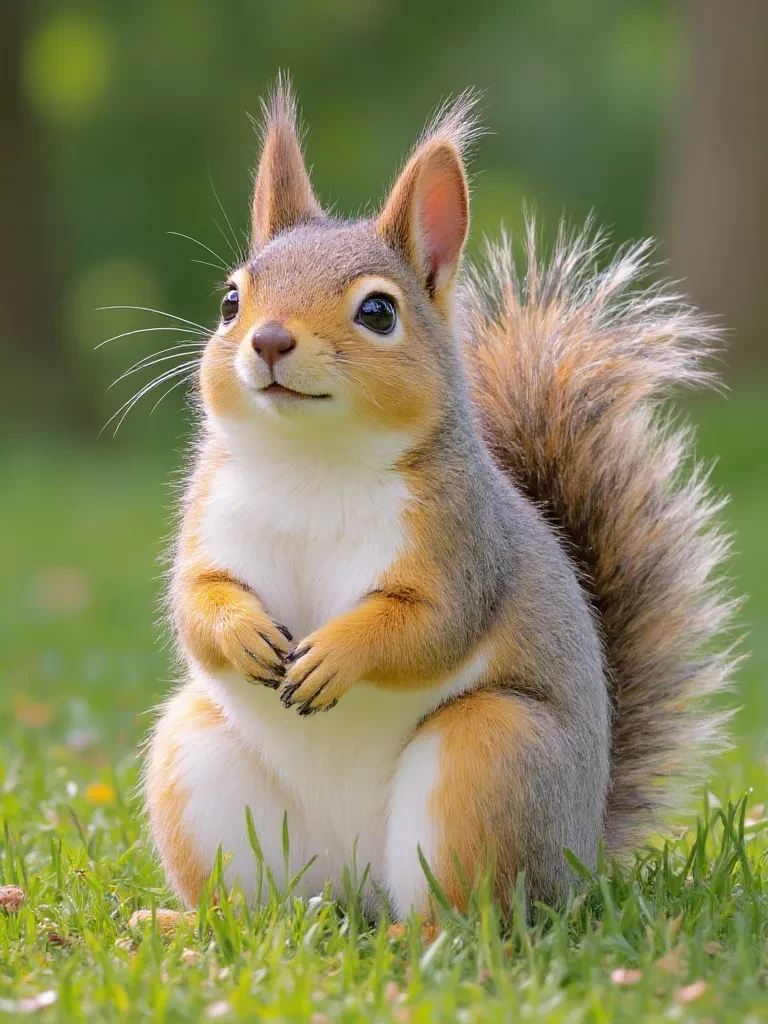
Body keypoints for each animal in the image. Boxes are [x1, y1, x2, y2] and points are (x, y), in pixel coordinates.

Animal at [144, 79, 734, 917]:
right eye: (231, 300)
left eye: (378, 311)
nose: (269, 339)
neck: (311, 462)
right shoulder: (210, 523)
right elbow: (195, 601)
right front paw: (245, 633)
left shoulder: (462, 544)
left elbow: (429, 625)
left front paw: (335, 655)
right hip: (197, 762)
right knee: (261, 909)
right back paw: (183, 923)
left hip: (489, 759)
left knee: (463, 913)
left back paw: (422, 932)